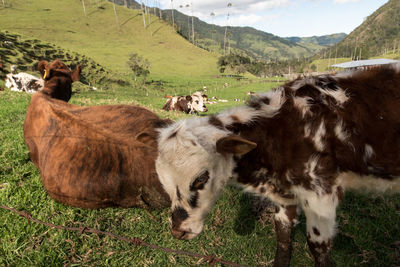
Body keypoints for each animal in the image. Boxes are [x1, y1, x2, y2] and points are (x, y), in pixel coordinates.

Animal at [155, 63, 400, 266]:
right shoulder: (286, 197)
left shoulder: (321, 194)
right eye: (164, 182)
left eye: (201, 178)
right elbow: (282, 238)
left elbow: (319, 249)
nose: (178, 231)